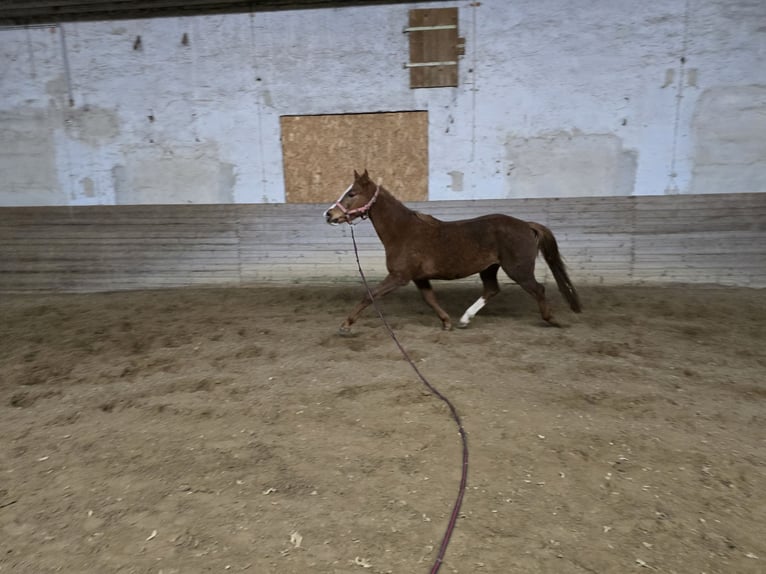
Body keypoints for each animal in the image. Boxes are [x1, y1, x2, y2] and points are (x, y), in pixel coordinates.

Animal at [324, 170, 584, 332]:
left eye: (352, 193)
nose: (329, 214)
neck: (404, 232)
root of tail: (526, 224)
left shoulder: (399, 277)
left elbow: (370, 295)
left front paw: (346, 325)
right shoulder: (418, 277)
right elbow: (430, 299)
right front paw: (447, 322)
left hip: (518, 270)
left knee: (538, 289)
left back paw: (552, 320)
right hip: (489, 268)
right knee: (492, 289)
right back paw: (464, 320)